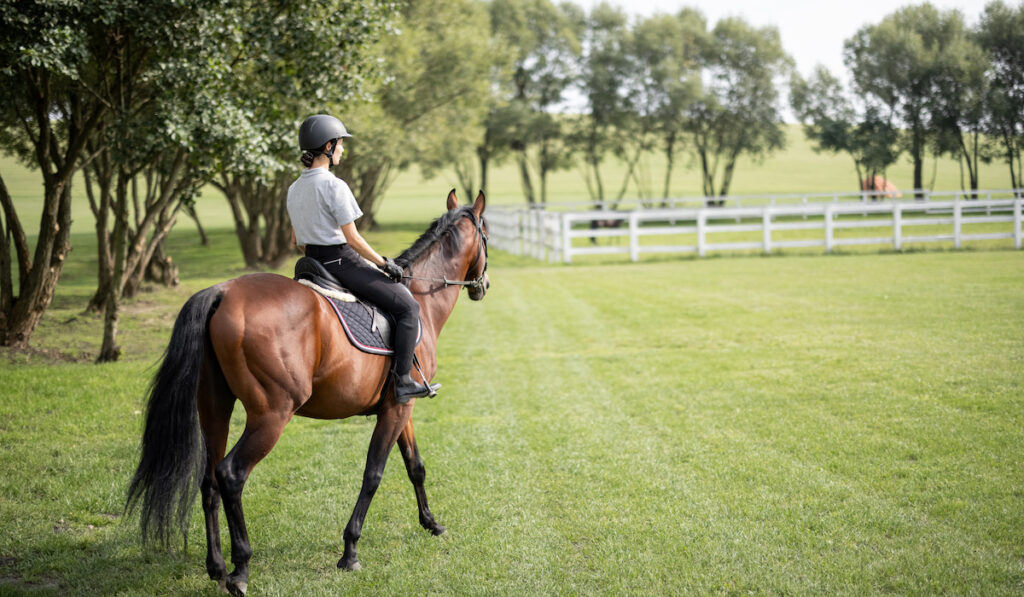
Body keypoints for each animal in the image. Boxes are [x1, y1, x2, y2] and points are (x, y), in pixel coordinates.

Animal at [125, 190, 489, 593]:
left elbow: (415, 465)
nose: (483, 286)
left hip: (214, 408)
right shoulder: (397, 408)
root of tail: (222, 292)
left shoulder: (399, 405)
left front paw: (431, 523)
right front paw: (350, 552)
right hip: (271, 415)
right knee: (231, 475)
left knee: (209, 481)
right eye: (486, 234)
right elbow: (374, 474)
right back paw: (241, 569)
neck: (420, 300)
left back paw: (217, 567)